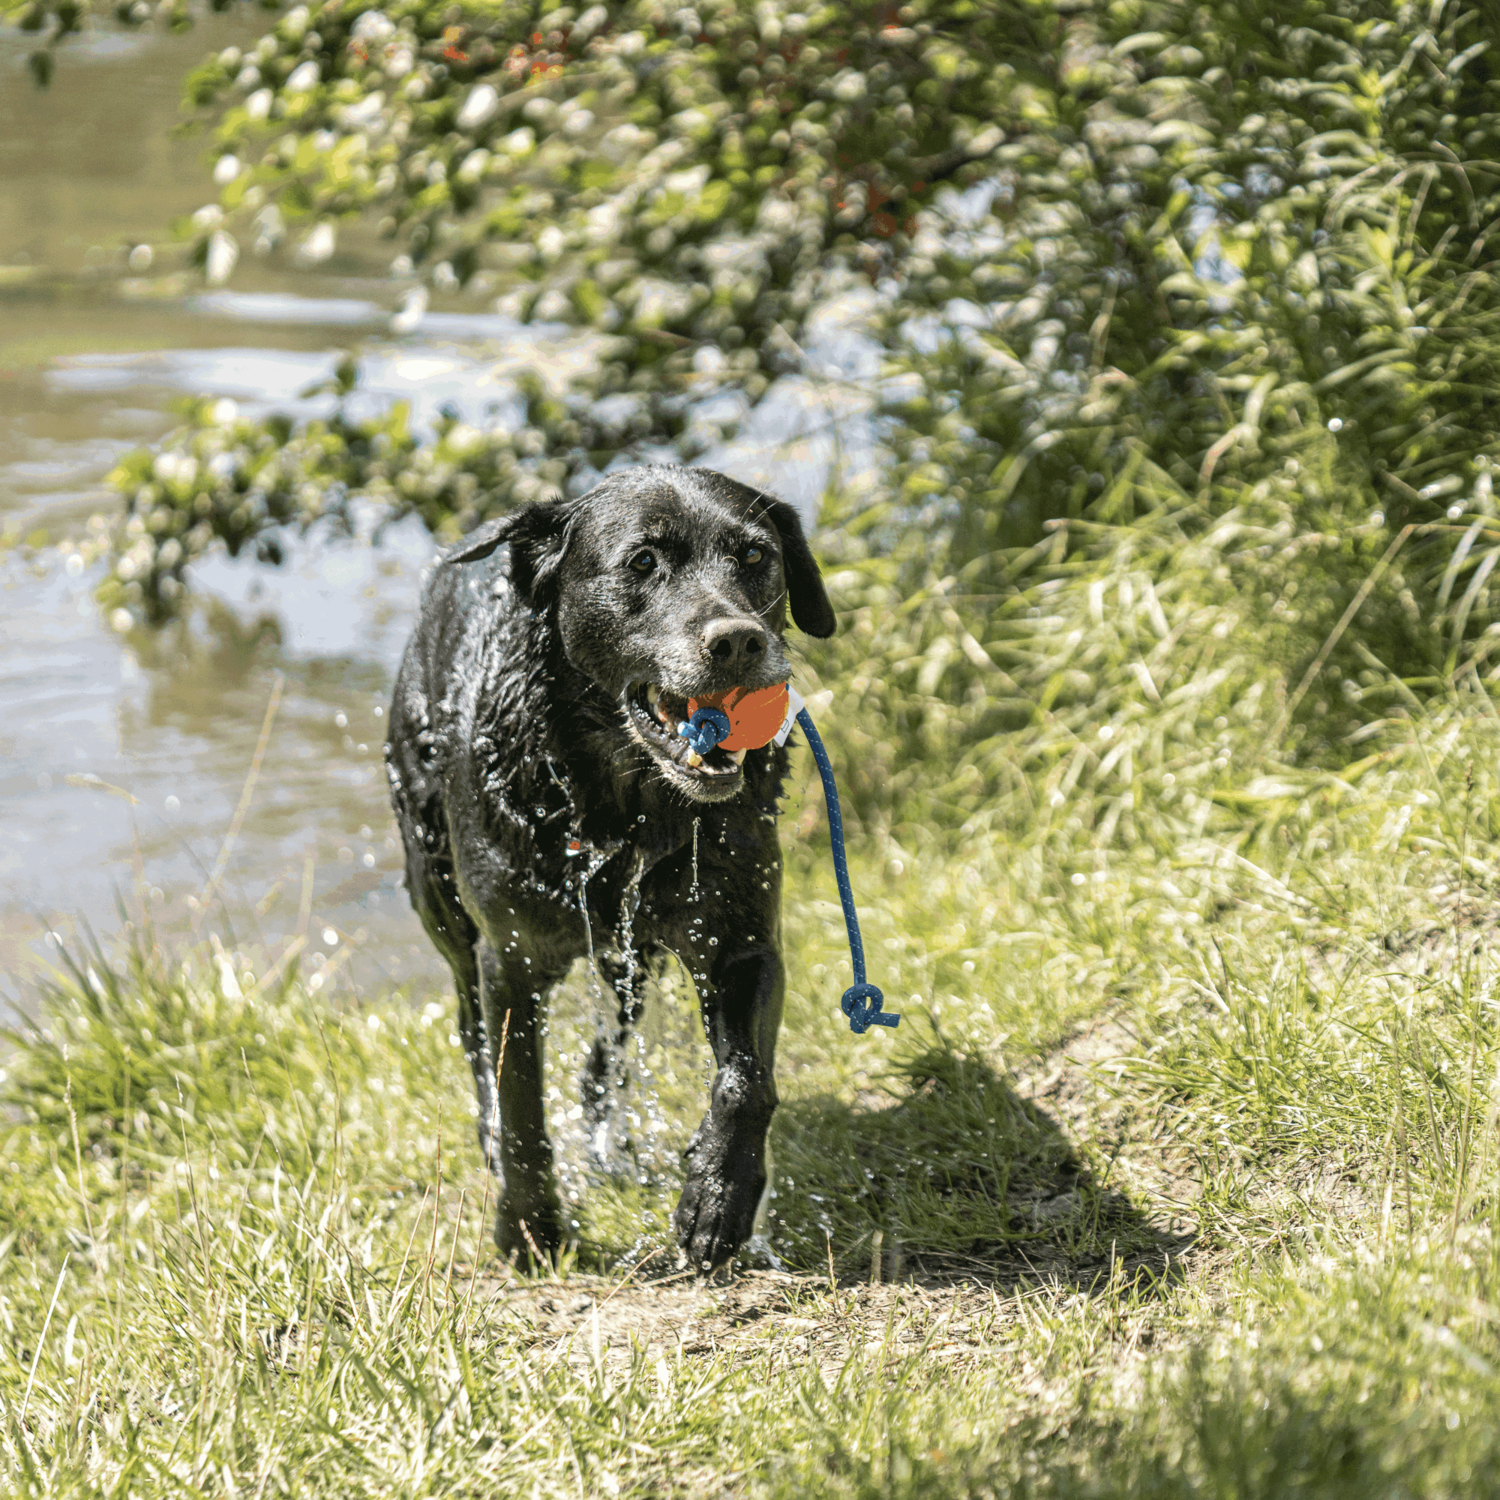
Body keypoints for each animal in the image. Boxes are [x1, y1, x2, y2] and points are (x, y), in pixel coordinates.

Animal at [384, 465, 834, 1266]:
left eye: (755, 556)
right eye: (643, 562)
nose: (740, 641)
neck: (627, 808)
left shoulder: (742, 938)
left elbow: (746, 1079)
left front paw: (719, 1197)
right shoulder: (510, 959)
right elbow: (520, 1105)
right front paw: (528, 1232)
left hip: (629, 955)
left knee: (609, 1052)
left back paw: (613, 1145)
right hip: (440, 896)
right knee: (470, 1030)